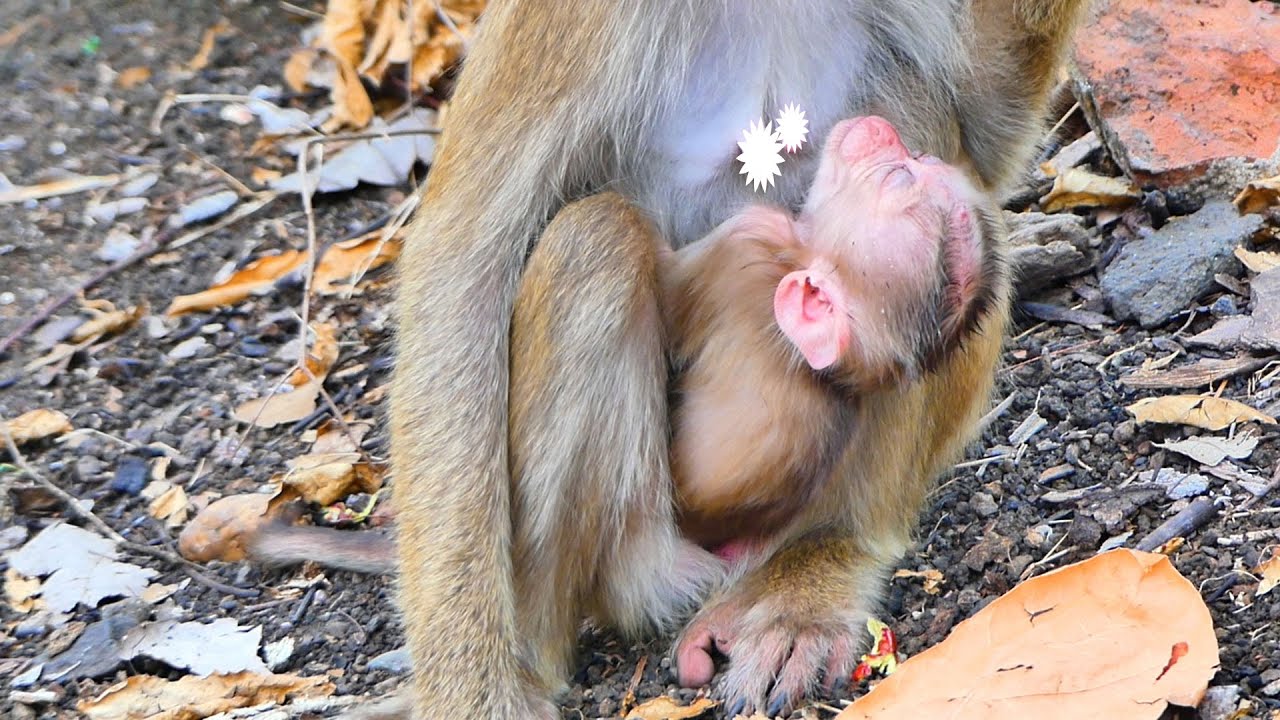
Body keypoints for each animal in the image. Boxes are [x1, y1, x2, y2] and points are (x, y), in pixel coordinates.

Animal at [368, 2, 1091, 716]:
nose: (881, 149)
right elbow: (463, 265)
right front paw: (477, 693)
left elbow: (985, 132)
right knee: (593, 242)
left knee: (917, 107)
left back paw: (819, 559)